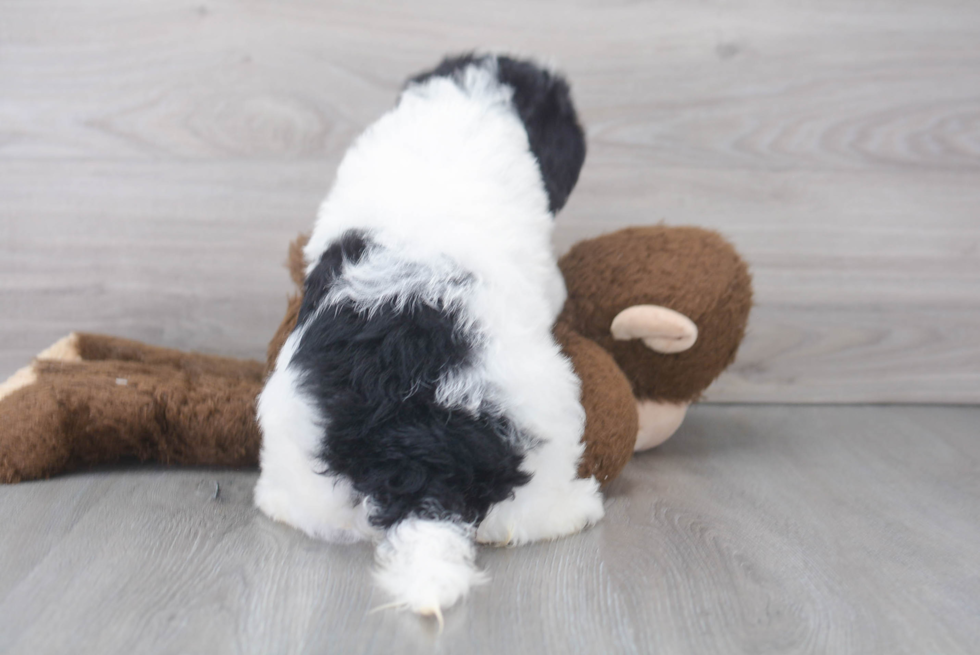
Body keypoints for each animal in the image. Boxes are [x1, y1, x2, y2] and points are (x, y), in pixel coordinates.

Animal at [256, 53, 600, 616]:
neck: (462, 103)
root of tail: (414, 457)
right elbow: (553, 283)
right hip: (547, 409)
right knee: (515, 516)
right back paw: (576, 506)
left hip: (295, 432)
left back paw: (276, 501)